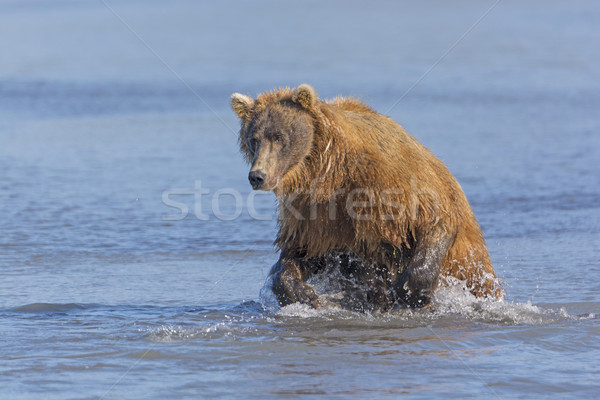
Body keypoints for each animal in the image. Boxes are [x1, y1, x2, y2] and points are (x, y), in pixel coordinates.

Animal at [230, 83, 502, 310]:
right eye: (253, 138)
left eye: (278, 137)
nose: (257, 176)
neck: (328, 171)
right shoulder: (314, 212)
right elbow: (302, 251)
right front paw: (302, 293)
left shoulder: (389, 180)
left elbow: (434, 218)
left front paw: (409, 290)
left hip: (473, 267)